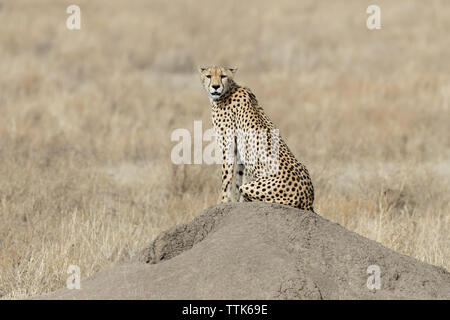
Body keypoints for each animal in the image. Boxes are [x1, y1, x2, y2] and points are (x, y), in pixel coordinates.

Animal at [199, 65, 314, 212]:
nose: (215, 86)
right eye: (208, 76)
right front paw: (235, 203)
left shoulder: (227, 147)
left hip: (259, 188)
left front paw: (221, 203)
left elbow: (226, 180)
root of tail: (308, 201)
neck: (227, 91)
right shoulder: (240, 151)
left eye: (223, 76)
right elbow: (238, 178)